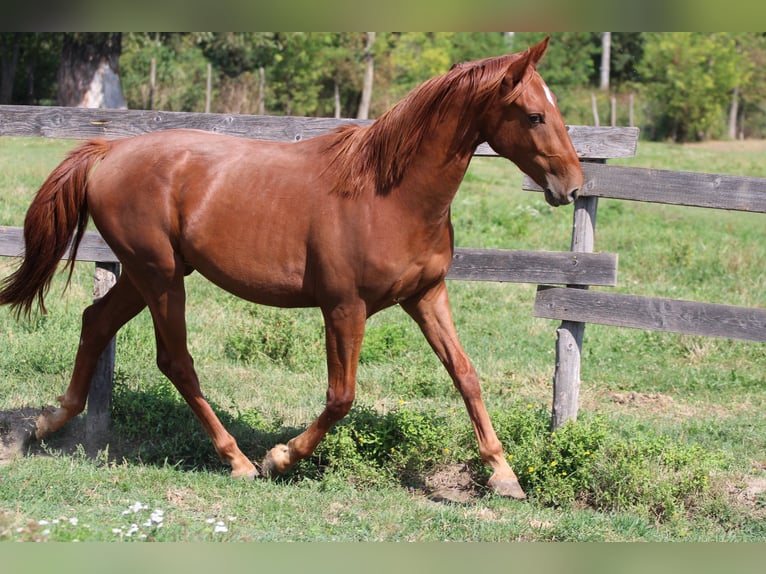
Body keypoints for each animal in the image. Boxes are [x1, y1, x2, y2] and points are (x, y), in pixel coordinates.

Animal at [0, 37, 582, 499]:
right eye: (534, 115)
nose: (573, 186)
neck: (389, 195)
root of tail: (108, 150)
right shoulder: (344, 307)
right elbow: (342, 397)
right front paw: (280, 457)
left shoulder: (427, 295)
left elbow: (466, 375)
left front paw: (504, 476)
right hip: (159, 276)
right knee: (176, 360)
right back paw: (237, 460)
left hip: (151, 275)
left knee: (96, 322)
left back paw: (42, 427)